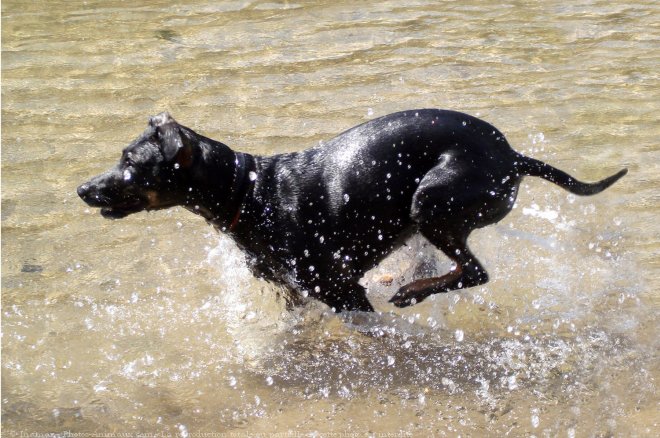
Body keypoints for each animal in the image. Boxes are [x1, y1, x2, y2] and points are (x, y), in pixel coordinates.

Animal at [80, 111, 628, 314]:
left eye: (131, 163)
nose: (84, 189)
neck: (248, 193)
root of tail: (514, 157)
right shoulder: (294, 292)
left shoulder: (342, 292)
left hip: (431, 200)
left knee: (474, 271)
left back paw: (411, 291)